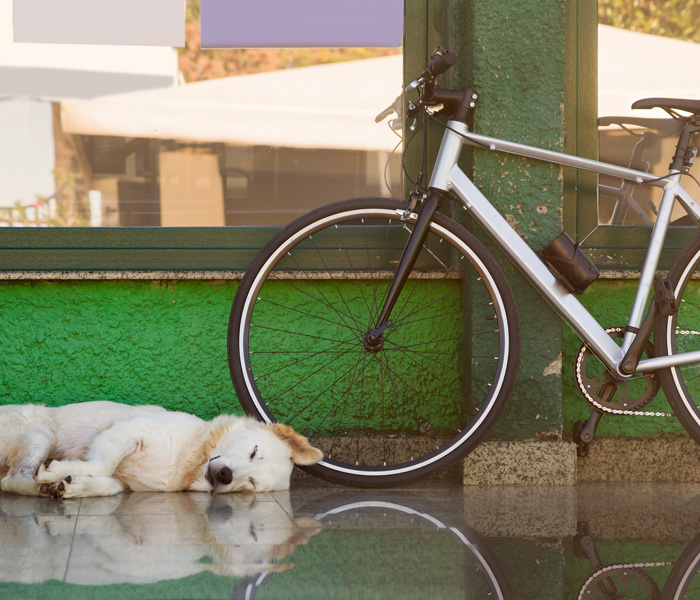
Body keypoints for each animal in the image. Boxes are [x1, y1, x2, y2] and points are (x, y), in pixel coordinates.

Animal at [0, 404, 322, 496]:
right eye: (255, 451)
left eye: (251, 483)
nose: (225, 475)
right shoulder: (122, 433)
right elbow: (103, 465)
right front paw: (59, 472)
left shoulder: (124, 482)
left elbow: (109, 485)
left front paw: (75, 484)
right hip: (41, 432)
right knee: (11, 480)